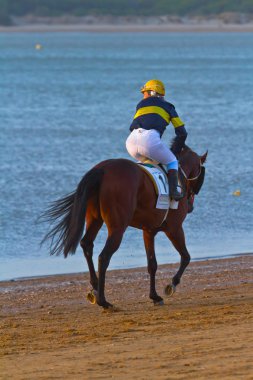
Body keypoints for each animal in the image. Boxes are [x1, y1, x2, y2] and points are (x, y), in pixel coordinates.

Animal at [41, 144, 208, 310]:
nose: (190, 205)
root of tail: (102, 168)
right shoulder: (174, 228)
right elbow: (186, 257)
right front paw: (171, 285)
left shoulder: (149, 231)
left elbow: (152, 264)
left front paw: (154, 296)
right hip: (118, 227)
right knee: (104, 256)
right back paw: (104, 301)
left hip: (94, 219)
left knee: (87, 244)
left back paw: (95, 289)